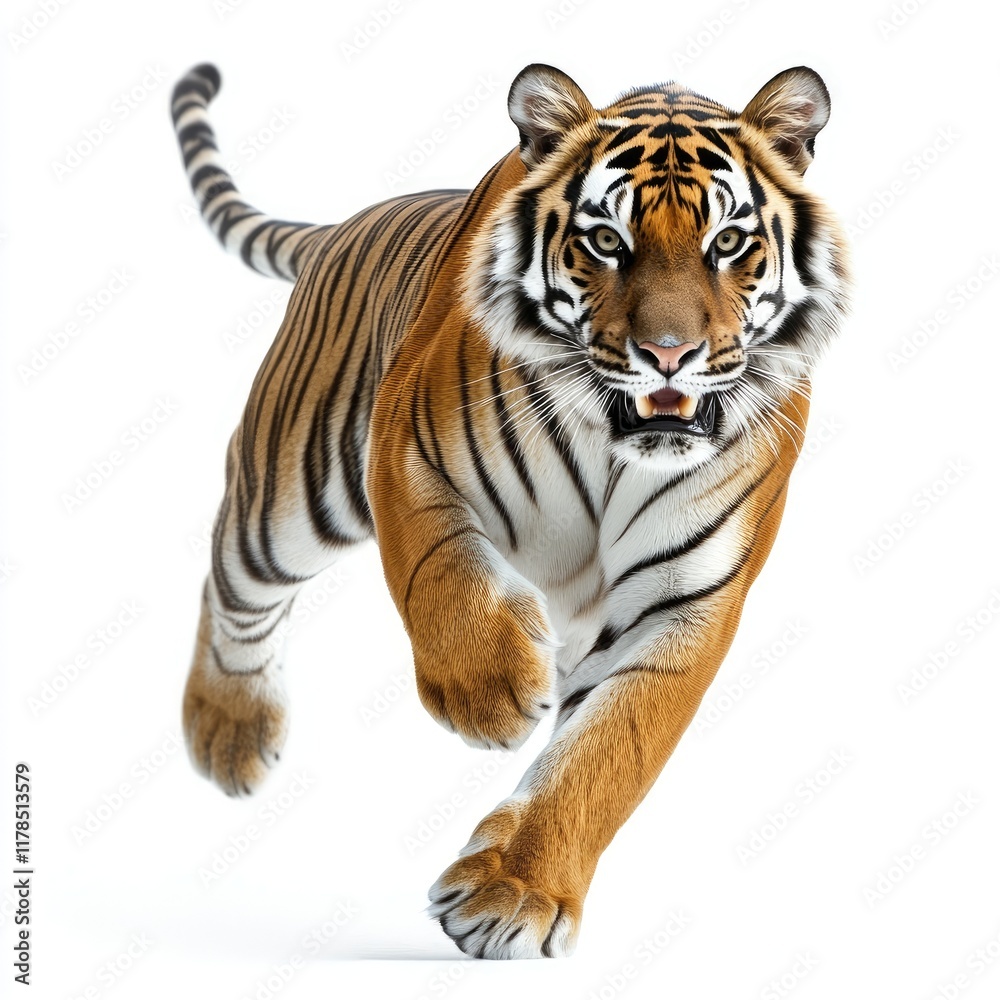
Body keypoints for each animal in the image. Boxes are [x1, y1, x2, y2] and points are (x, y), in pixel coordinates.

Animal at [171, 60, 849, 960]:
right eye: (607, 241)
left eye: (729, 243)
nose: (668, 354)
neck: (617, 444)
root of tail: (342, 227)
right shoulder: (406, 451)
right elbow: (437, 576)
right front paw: (491, 693)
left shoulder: (684, 602)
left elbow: (608, 753)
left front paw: (514, 895)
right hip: (293, 487)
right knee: (232, 575)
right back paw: (230, 732)